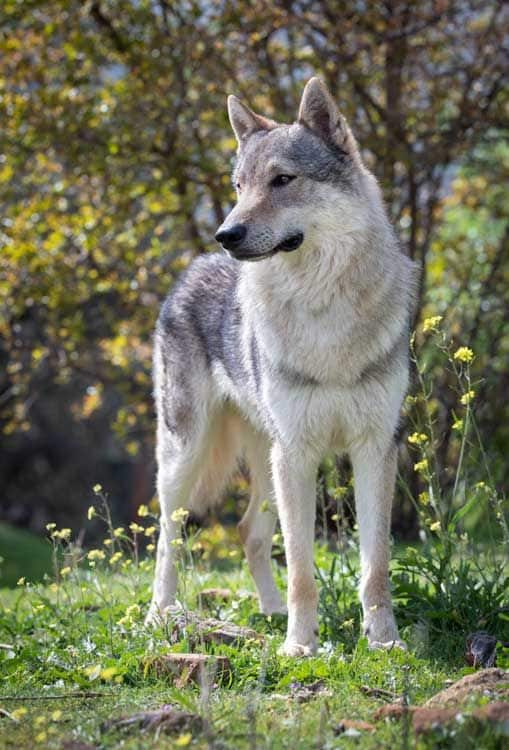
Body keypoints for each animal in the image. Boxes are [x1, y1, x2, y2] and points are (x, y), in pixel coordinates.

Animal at [146, 78, 416, 656]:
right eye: (239, 185)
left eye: (282, 180)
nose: (226, 233)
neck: (324, 311)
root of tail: (192, 267)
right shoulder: (298, 453)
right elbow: (302, 570)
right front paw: (299, 647)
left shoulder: (373, 450)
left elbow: (376, 567)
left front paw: (384, 642)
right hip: (187, 457)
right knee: (168, 537)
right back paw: (159, 616)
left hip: (267, 460)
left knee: (248, 532)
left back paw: (268, 612)